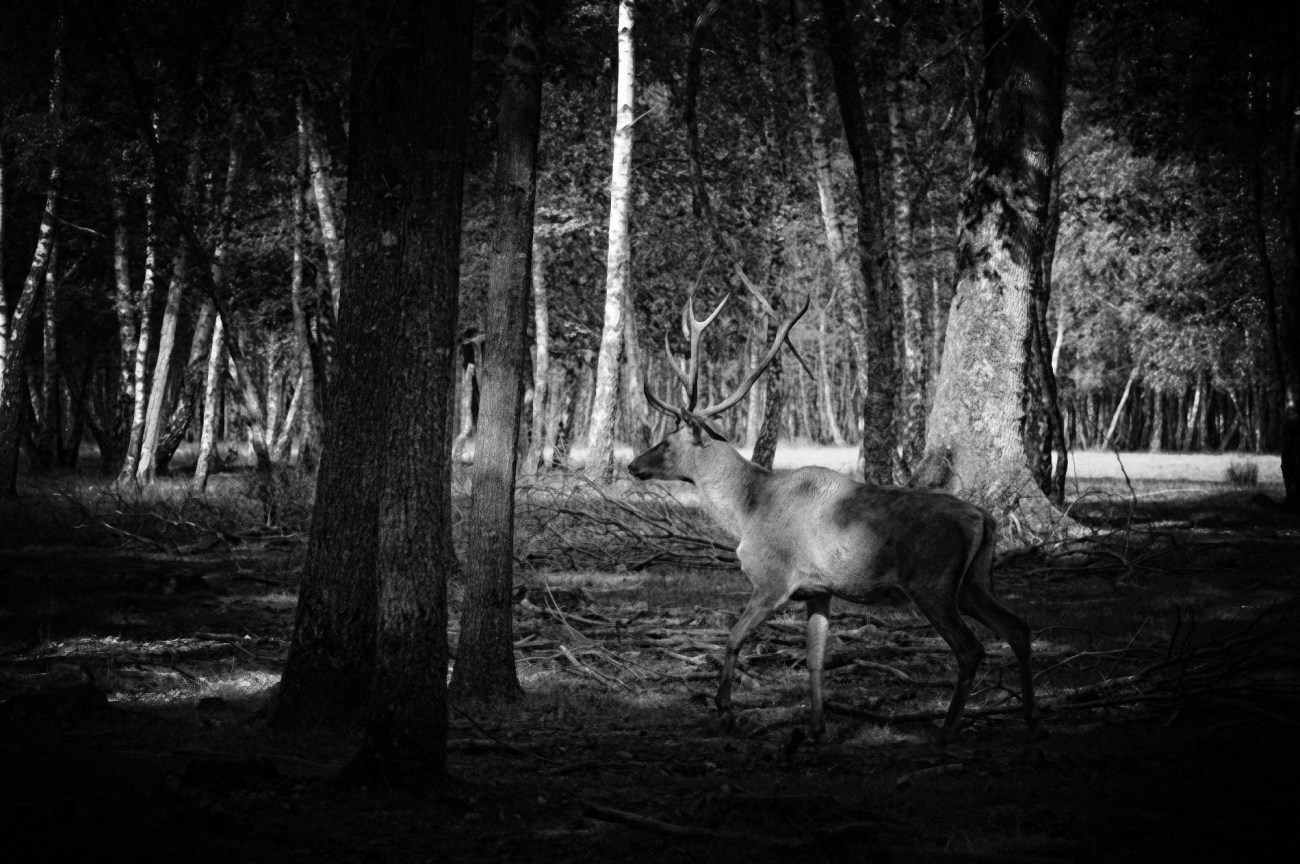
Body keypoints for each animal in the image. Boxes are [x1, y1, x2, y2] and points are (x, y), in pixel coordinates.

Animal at [627, 291, 1035, 746]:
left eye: (666, 441)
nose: (632, 466)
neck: (748, 510)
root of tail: (984, 518)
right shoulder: (819, 590)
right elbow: (815, 658)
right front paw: (815, 726)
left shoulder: (773, 579)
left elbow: (732, 638)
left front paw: (726, 711)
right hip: (972, 582)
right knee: (1018, 627)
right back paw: (1032, 717)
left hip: (933, 583)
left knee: (970, 648)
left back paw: (946, 730)